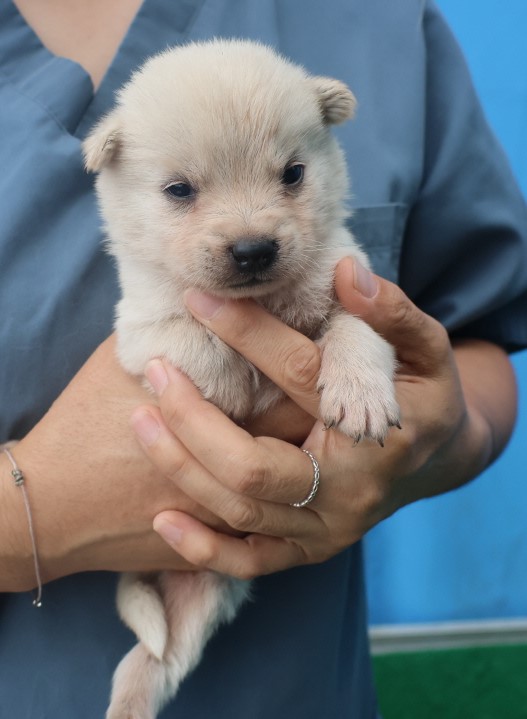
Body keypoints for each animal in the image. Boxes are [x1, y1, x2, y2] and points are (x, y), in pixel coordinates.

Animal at [84, 39, 400, 719]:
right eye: (179, 189)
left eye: (293, 174)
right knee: (142, 665)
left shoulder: (351, 283)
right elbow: (193, 334)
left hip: (200, 598)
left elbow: (353, 332)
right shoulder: (141, 328)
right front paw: (228, 385)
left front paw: (360, 397)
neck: (262, 302)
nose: (253, 249)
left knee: (157, 662)